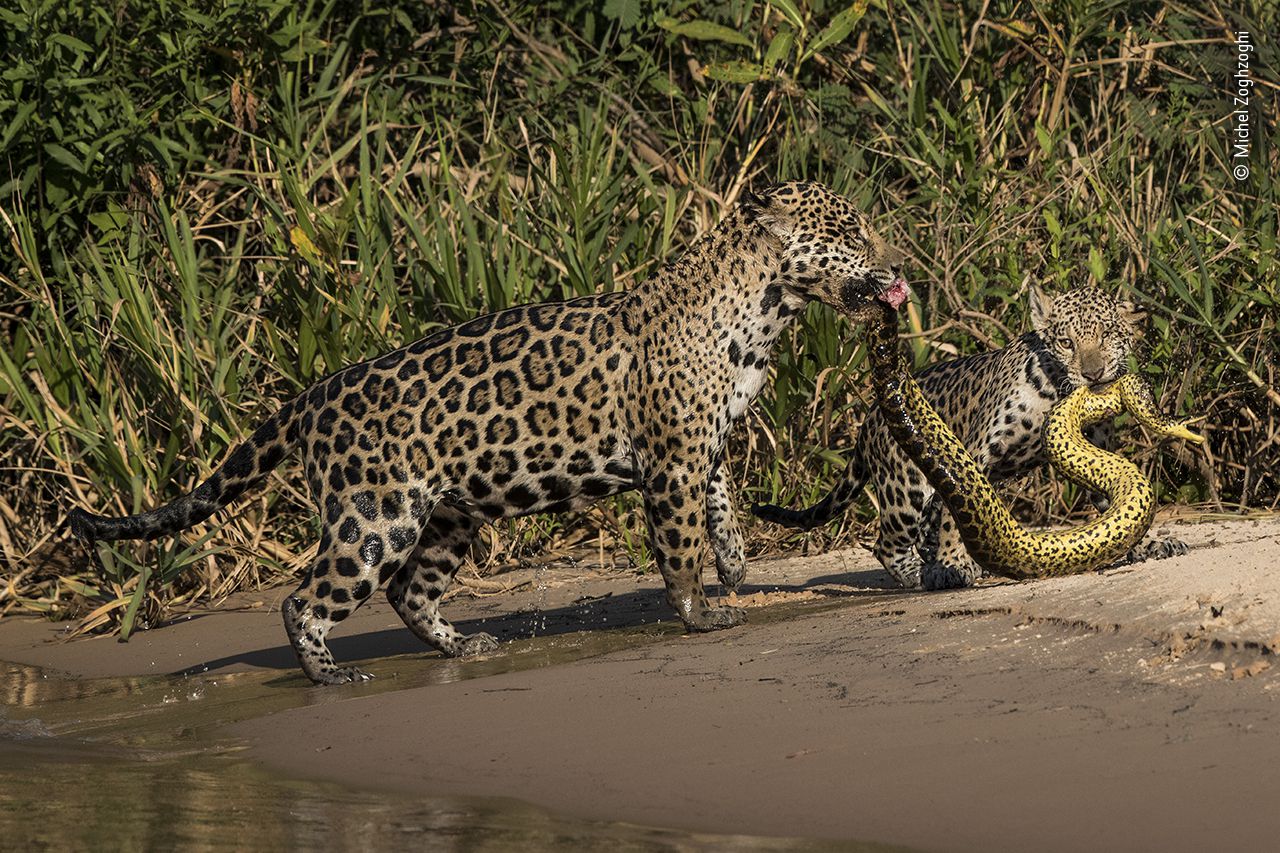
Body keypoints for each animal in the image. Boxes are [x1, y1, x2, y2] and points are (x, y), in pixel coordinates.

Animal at [68, 180, 909, 685]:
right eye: (851, 231)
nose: (899, 264)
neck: (766, 310)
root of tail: (312, 397)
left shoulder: (702, 443)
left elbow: (722, 503)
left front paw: (734, 562)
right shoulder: (671, 458)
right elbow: (678, 545)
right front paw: (701, 612)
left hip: (446, 514)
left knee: (409, 591)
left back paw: (461, 646)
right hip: (376, 517)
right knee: (305, 597)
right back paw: (329, 673)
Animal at [752, 284, 1189, 591]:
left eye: (1107, 336)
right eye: (1066, 342)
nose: (1093, 374)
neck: (1054, 395)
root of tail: (869, 421)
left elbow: (1114, 504)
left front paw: (1146, 546)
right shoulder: (977, 452)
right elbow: (954, 514)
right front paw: (954, 562)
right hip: (903, 486)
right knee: (889, 543)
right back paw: (925, 573)